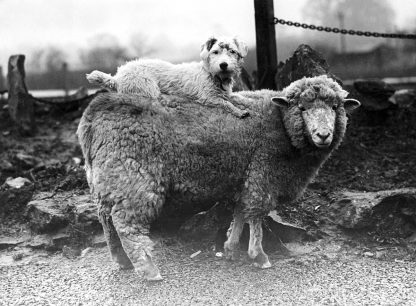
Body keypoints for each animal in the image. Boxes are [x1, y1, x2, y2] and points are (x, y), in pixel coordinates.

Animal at [77, 75, 360, 280]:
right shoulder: (262, 174)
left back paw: (121, 260)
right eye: (302, 107)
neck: (281, 126)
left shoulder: (245, 177)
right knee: (125, 224)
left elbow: (240, 212)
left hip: (107, 178)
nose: (323, 135)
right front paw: (258, 255)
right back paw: (148, 269)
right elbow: (255, 216)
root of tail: (94, 115)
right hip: (133, 178)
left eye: (335, 107)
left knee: (105, 218)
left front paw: (230, 247)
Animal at [86, 35, 252, 117]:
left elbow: (238, 97)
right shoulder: (208, 98)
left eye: (232, 51)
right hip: (147, 87)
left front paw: (248, 101)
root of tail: (117, 78)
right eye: (215, 52)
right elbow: (226, 103)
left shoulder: (227, 93)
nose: (223, 65)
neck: (212, 75)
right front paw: (240, 112)